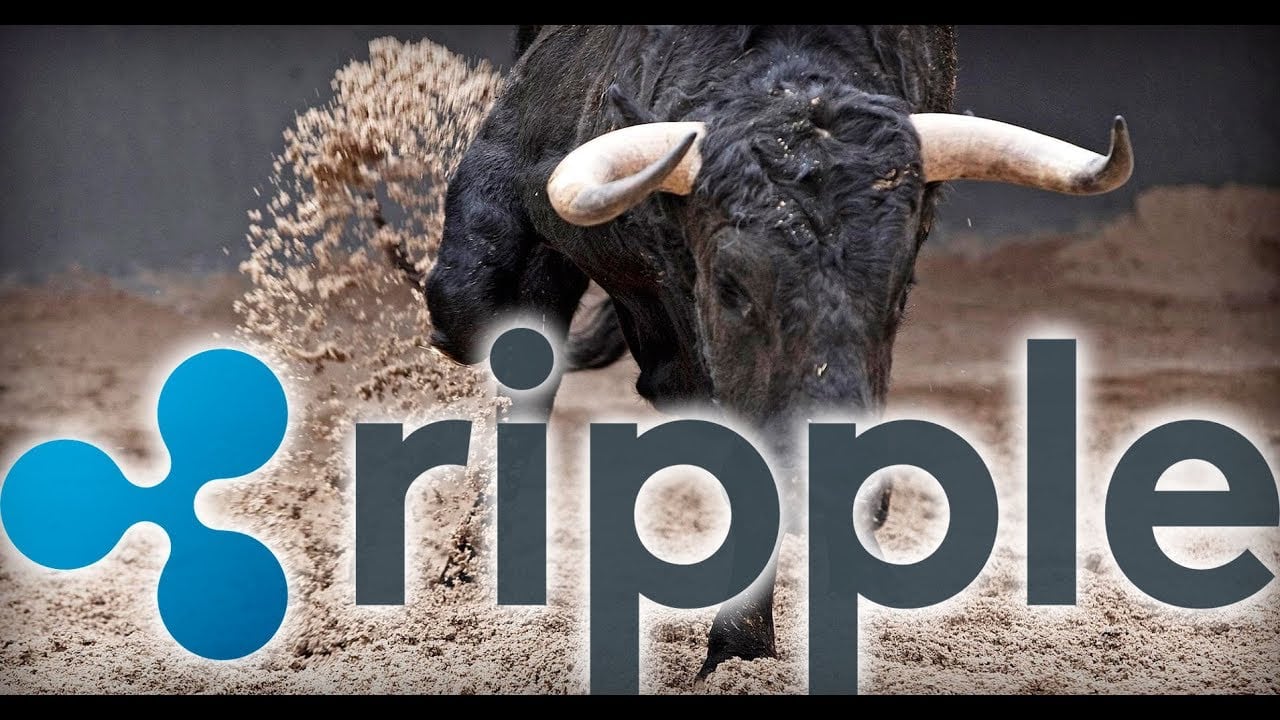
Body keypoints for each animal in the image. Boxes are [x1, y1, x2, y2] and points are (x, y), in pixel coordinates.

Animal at [416, 25, 1132, 682]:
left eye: (900, 287)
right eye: (732, 286)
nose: (839, 477)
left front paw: (738, 647)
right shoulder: (511, 173)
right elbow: (483, 315)